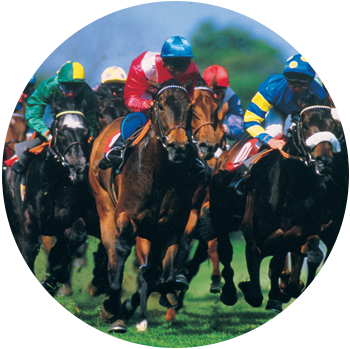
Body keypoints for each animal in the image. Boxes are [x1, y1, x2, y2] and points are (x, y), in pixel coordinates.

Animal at [20, 100, 100, 326]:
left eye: (85, 131)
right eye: (62, 131)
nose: (78, 166)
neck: (55, 182)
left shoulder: (70, 221)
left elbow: (71, 242)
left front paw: (48, 287)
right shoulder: (30, 215)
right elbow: (31, 248)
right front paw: (29, 299)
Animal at [89, 79, 197, 332]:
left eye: (190, 107)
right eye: (160, 106)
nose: (179, 147)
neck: (161, 173)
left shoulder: (174, 223)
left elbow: (164, 273)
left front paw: (167, 292)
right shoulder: (126, 216)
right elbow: (121, 253)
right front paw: (111, 307)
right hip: (105, 208)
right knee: (112, 255)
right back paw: (116, 315)